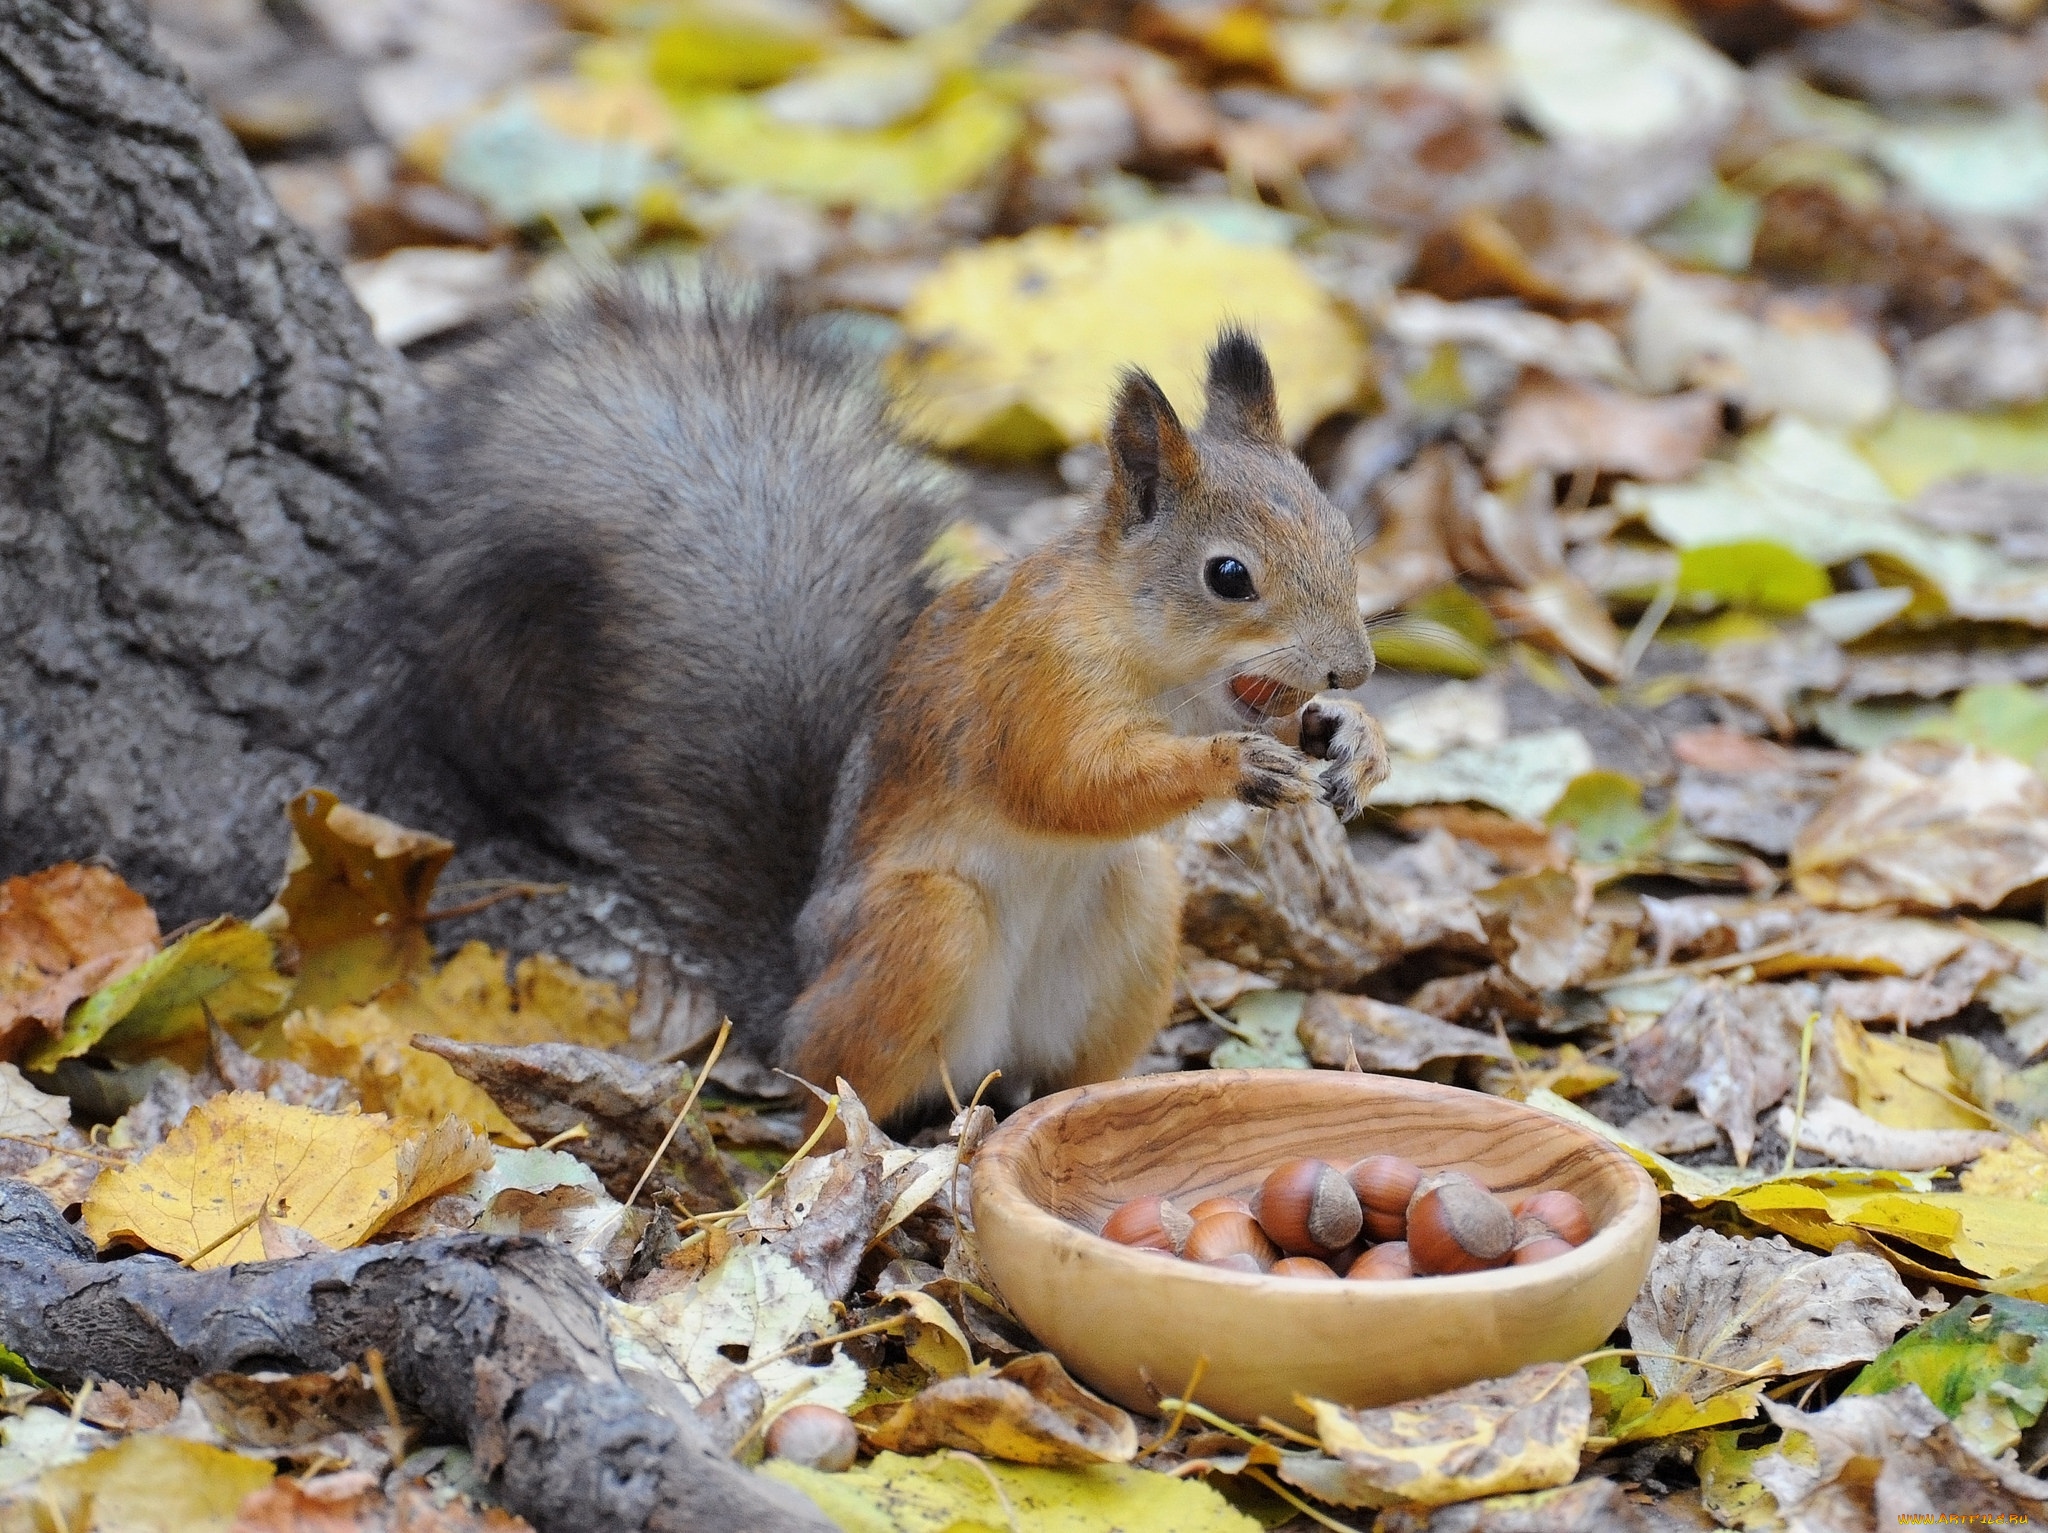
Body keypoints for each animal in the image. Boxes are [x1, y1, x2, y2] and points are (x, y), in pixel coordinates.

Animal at [395, 284, 1392, 1121]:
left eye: (1343, 531)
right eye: (1228, 576)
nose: (1352, 669)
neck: (1152, 657)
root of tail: (795, 995)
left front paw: (1356, 741)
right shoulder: (1029, 684)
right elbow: (1065, 784)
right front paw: (1233, 763)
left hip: (1134, 914)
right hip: (919, 929)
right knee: (835, 1089)